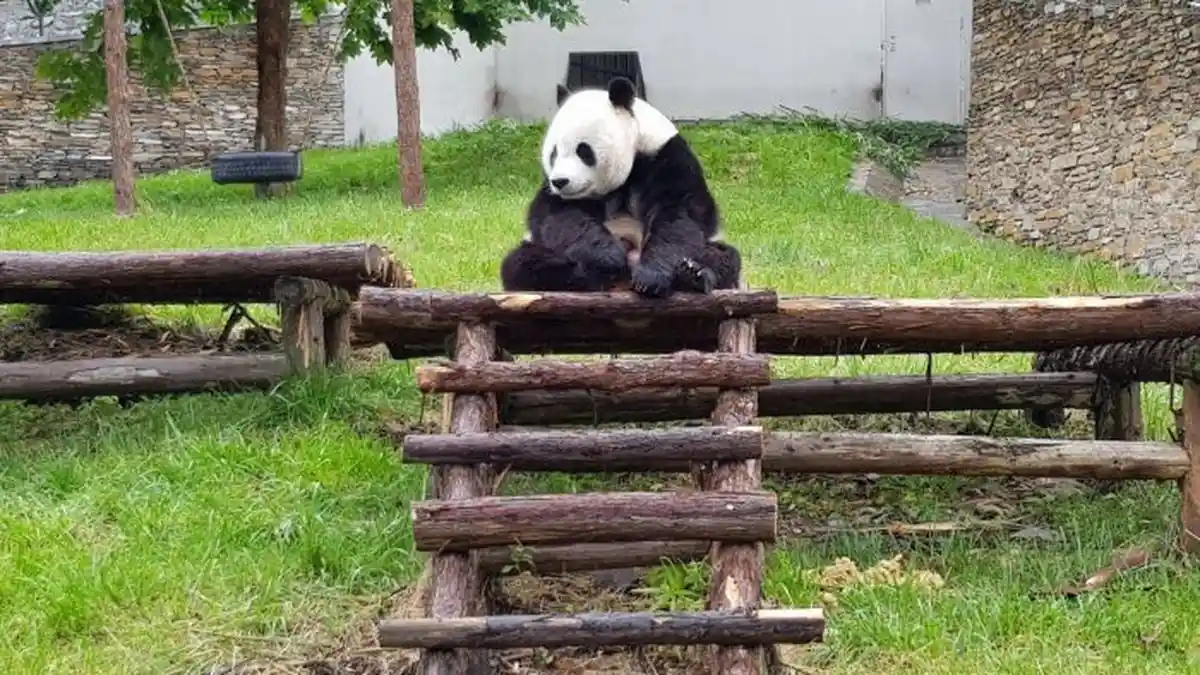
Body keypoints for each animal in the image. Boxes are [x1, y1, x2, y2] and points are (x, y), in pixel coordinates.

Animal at [499, 76, 741, 298]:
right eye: (554, 153)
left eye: (583, 150)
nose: (560, 181)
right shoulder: (554, 194)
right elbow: (560, 217)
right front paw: (609, 256)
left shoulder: (667, 159)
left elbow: (679, 217)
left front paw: (651, 277)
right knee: (521, 263)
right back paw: (587, 275)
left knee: (724, 258)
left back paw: (693, 275)